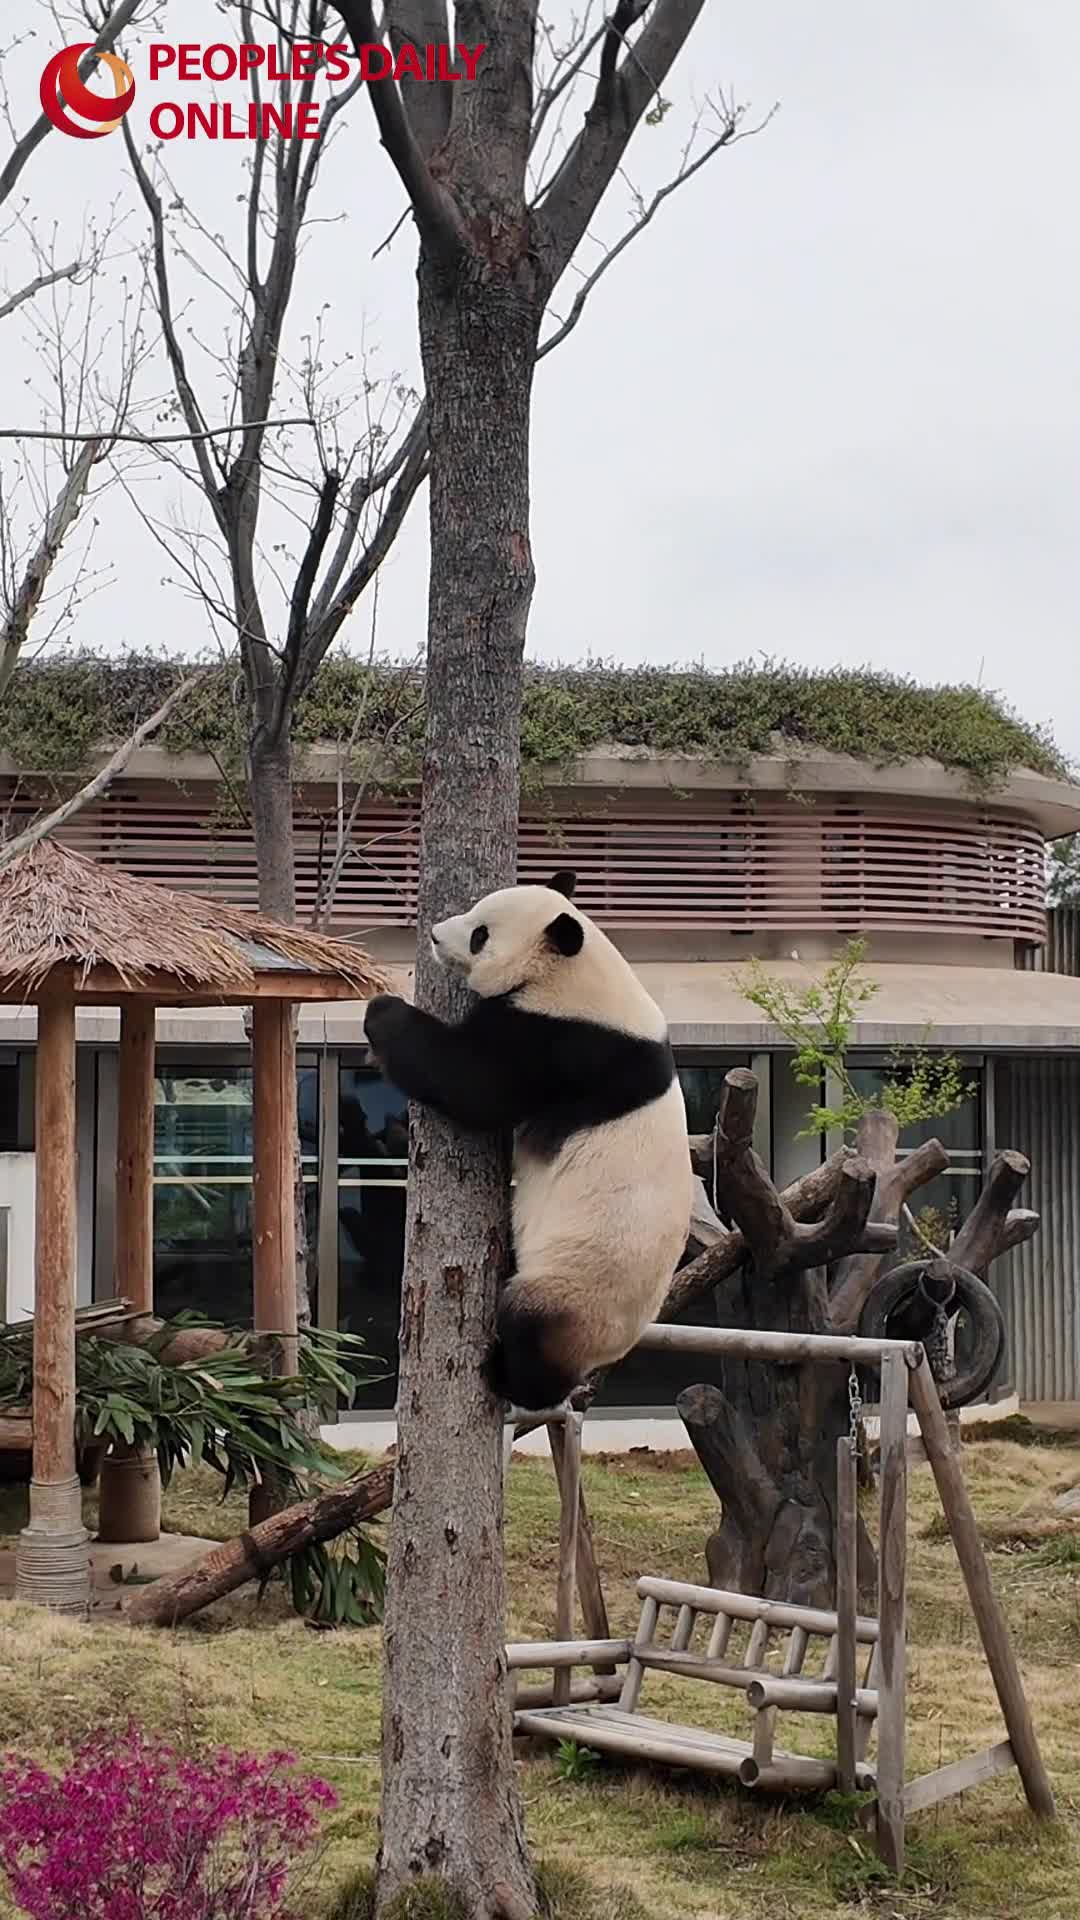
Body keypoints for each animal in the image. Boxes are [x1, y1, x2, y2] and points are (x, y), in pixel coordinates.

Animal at [362, 871, 693, 1411]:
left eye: (481, 934)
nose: (434, 935)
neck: (578, 972)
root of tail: (614, 1347)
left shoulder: (561, 1043)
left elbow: (471, 1083)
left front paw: (383, 1010)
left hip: (575, 1288)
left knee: (530, 1326)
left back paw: (510, 1378)